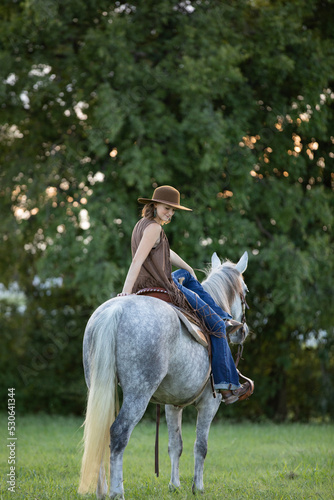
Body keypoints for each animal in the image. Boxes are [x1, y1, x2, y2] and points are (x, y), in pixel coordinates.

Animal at [79, 252, 250, 498]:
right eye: (245, 290)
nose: (242, 331)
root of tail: (115, 311)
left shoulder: (172, 405)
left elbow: (175, 445)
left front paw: (174, 485)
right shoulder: (209, 403)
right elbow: (201, 446)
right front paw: (198, 487)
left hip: (100, 387)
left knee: (100, 432)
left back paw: (102, 491)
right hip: (138, 394)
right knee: (119, 433)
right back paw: (117, 492)